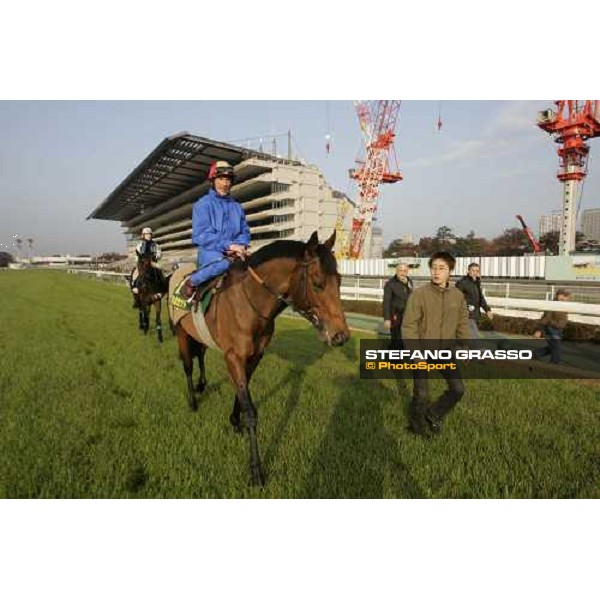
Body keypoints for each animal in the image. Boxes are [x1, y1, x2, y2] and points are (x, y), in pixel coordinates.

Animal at [171, 231, 350, 488]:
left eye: (340, 279)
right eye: (317, 283)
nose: (341, 335)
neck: (249, 304)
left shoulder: (255, 355)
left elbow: (241, 392)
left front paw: (234, 420)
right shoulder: (233, 356)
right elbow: (250, 411)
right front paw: (256, 470)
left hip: (198, 336)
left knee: (201, 356)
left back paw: (202, 385)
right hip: (182, 334)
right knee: (187, 366)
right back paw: (193, 401)